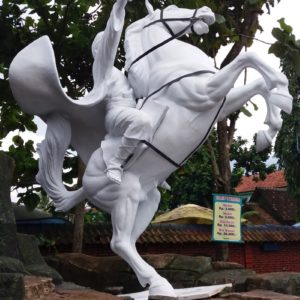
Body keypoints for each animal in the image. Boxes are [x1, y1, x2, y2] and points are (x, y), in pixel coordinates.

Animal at [9, 2, 292, 300]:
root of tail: (85, 187)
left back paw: (157, 283)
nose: (207, 13)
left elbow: (258, 84)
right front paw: (283, 95)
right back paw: (160, 284)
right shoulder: (205, 92)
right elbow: (249, 59)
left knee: (131, 242)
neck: (168, 66)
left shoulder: (220, 104)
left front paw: (269, 129)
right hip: (125, 197)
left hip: (147, 201)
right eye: (171, 8)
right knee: (119, 243)